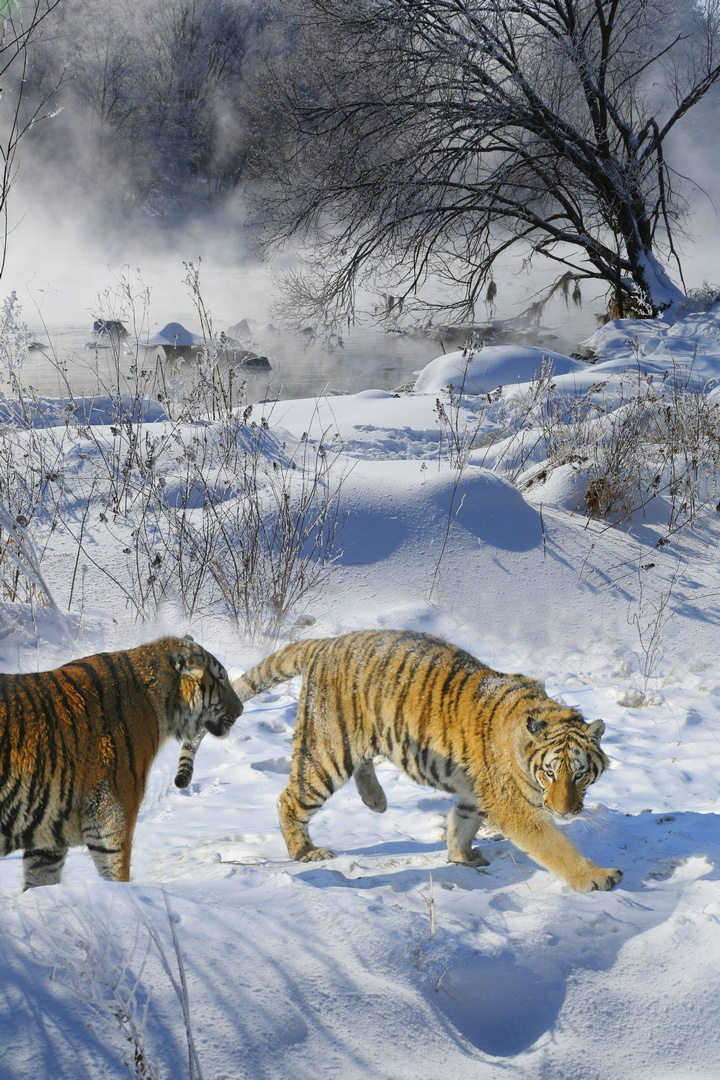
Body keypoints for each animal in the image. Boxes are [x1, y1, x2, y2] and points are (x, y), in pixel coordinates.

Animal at [177, 630, 621, 889]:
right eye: (550, 774)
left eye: (581, 776)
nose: (566, 811)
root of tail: (326, 642)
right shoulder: (514, 806)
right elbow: (553, 845)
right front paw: (595, 877)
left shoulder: (476, 792)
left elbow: (462, 820)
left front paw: (461, 856)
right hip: (326, 750)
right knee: (290, 798)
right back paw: (306, 852)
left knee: (361, 766)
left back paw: (376, 801)